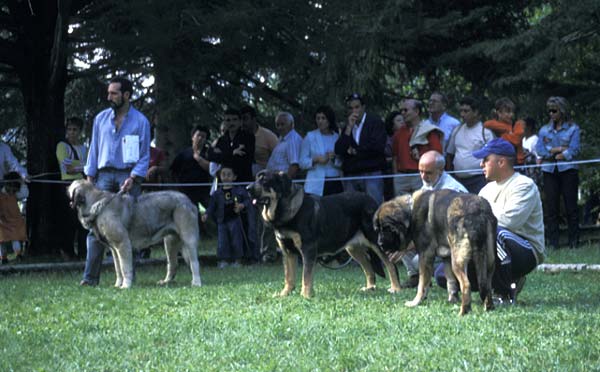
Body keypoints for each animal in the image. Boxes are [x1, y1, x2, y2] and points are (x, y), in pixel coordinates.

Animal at [67, 179, 203, 290]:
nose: (66, 187)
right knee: (172, 264)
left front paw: (125, 286)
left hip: (188, 239)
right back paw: (166, 282)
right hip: (170, 242)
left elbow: (124, 267)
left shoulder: (123, 244)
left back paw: (196, 283)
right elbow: (118, 268)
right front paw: (117, 285)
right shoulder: (114, 249)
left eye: (71, 186)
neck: (97, 204)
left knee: (194, 262)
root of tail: (188, 200)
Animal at [246, 172, 400, 300]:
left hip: (377, 242)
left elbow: (306, 275)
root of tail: (372, 201)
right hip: (353, 248)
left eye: (265, 180)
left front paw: (305, 295)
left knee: (390, 265)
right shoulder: (287, 251)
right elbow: (288, 276)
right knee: (368, 267)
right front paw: (285, 293)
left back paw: (396, 288)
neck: (283, 209)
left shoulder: (308, 249)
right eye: (256, 178)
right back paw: (369, 288)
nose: (247, 188)